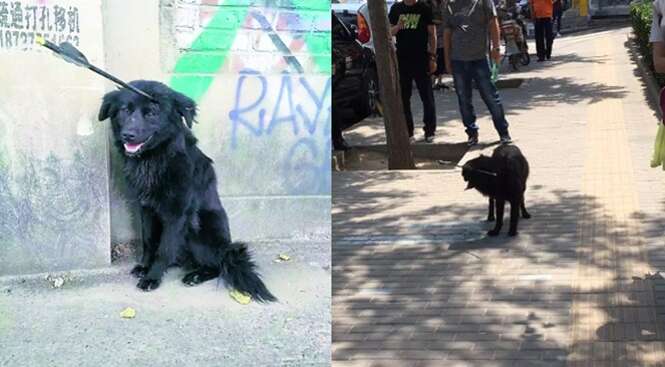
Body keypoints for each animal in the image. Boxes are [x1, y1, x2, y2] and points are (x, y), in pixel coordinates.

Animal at [98, 80, 274, 302]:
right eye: (125, 110)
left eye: (152, 113)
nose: (127, 135)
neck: (155, 159)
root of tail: (227, 248)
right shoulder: (146, 209)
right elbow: (149, 241)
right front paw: (144, 267)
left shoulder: (177, 213)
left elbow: (164, 249)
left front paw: (152, 277)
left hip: (199, 232)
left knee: (218, 266)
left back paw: (196, 275)